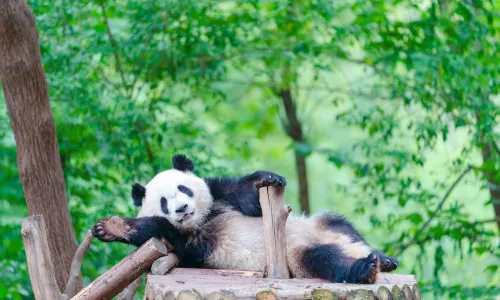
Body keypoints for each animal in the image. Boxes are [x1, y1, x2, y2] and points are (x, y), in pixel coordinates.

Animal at [93, 155, 398, 284]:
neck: (203, 218)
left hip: (320, 225)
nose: (182, 209)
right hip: (295, 257)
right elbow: (162, 229)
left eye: (184, 189)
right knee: (324, 259)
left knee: (342, 225)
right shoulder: (191, 243)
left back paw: (383, 259)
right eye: (164, 202)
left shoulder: (220, 194)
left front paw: (268, 178)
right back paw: (365, 268)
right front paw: (111, 227)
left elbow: (248, 197)